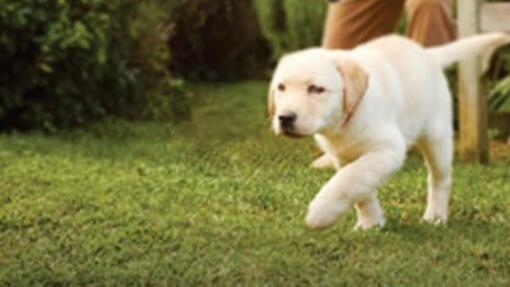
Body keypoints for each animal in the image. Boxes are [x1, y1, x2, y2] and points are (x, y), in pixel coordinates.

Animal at [268, 33, 508, 232]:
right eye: (281, 87)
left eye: (316, 89)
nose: (285, 117)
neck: (346, 119)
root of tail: (428, 54)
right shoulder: (344, 157)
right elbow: (359, 189)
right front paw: (370, 223)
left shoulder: (388, 149)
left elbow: (349, 179)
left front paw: (321, 213)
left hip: (436, 137)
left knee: (440, 179)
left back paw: (435, 216)